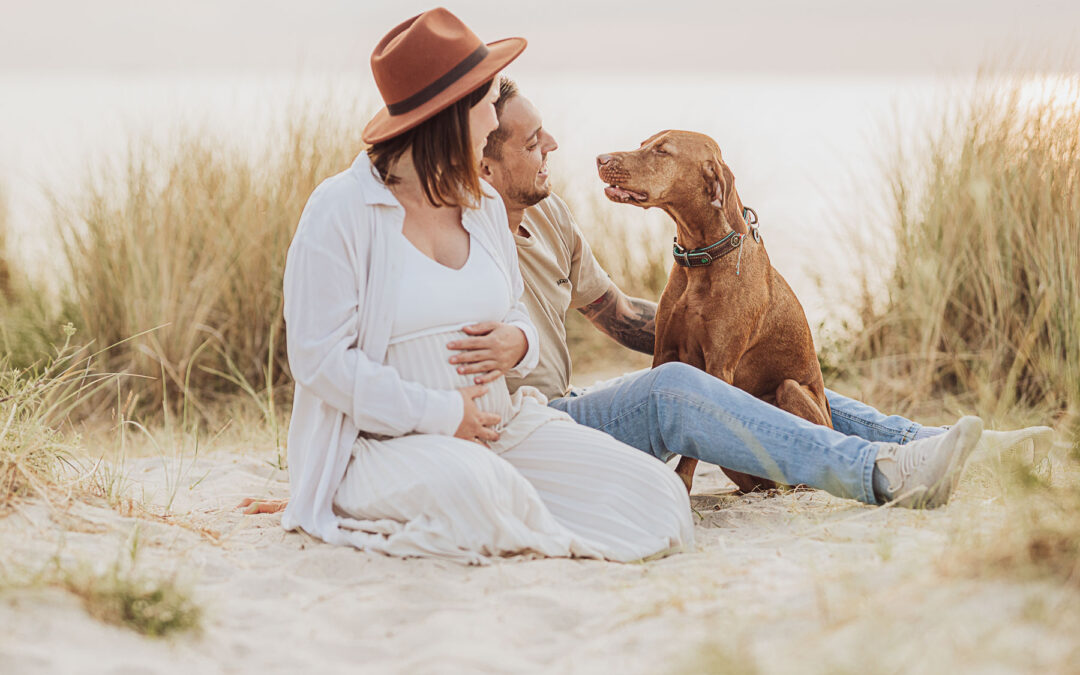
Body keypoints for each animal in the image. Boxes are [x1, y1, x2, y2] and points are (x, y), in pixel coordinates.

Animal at [596, 129, 829, 492]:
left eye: (663, 151)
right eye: (643, 144)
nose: (600, 158)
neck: (701, 259)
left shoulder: (719, 367)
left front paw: (681, 481)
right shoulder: (663, 354)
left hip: (791, 390)